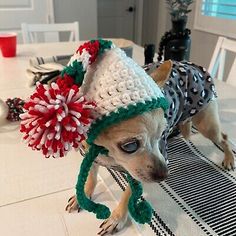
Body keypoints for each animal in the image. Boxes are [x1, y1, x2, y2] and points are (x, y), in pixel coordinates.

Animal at [66, 59, 234, 234]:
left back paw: (229, 158)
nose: (164, 175)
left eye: (161, 135)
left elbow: (127, 194)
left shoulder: (136, 173)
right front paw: (83, 195)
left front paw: (117, 218)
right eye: (130, 146)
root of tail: (192, 65)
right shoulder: (91, 156)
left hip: (207, 126)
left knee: (224, 138)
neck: (104, 151)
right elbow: (91, 177)